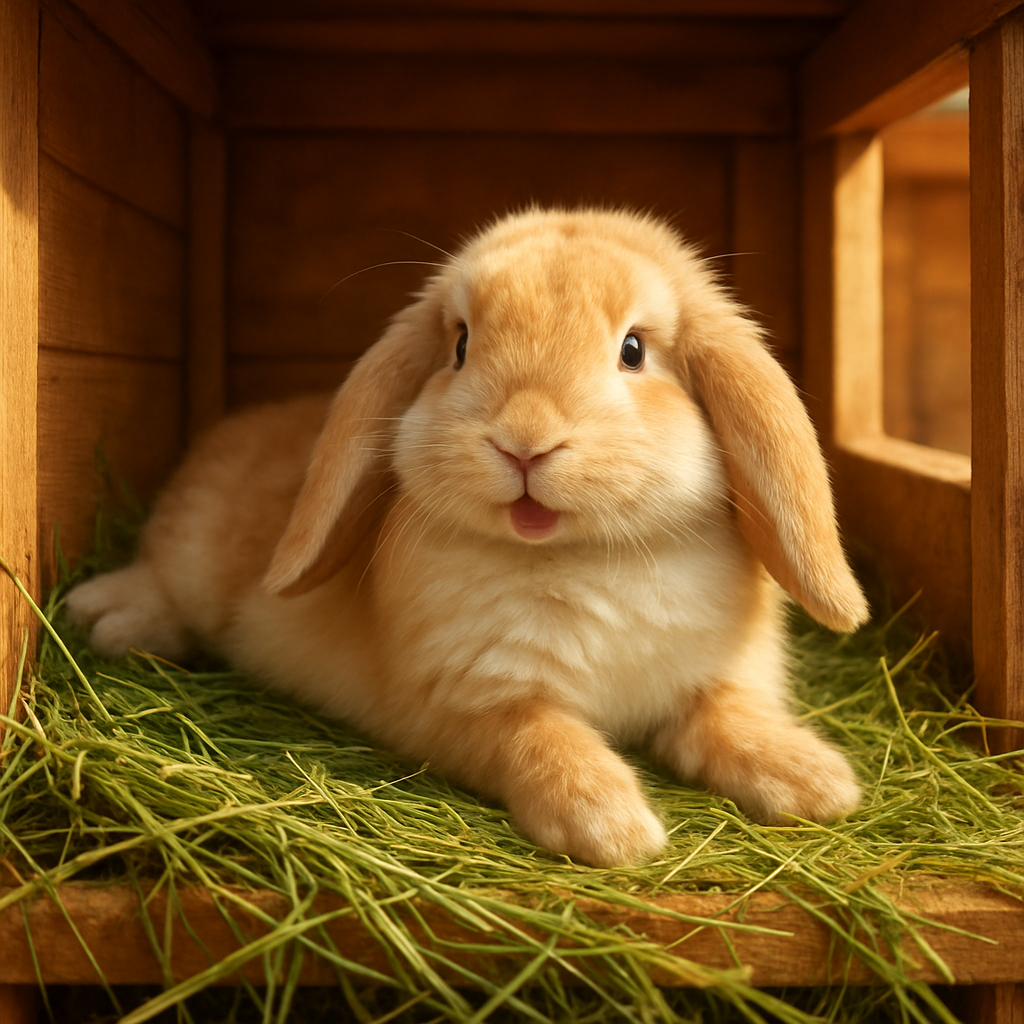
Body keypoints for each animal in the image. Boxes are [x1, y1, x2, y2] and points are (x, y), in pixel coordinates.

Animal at [66, 207, 869, 868]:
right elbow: (543, 741)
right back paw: (105, 619)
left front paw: (817, 782)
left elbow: (731, 720)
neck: (579, 556)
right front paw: (610, 826)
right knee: (156, 581)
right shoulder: (472, 705)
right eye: (459, 346)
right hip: (188, 563)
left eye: (634, 350)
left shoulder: (711, 682)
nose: (525, 442)